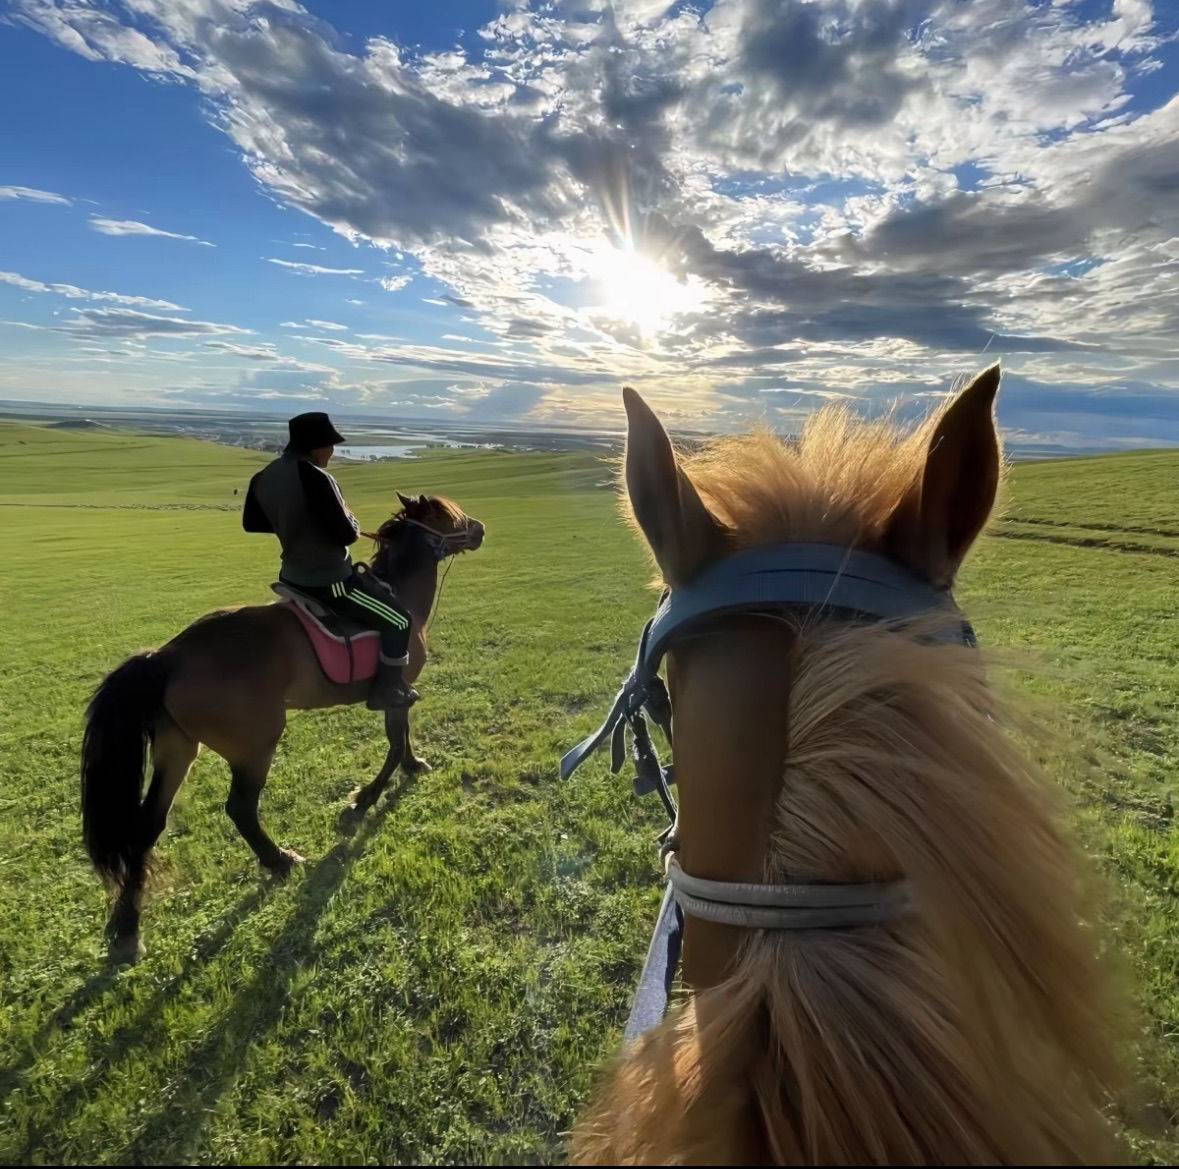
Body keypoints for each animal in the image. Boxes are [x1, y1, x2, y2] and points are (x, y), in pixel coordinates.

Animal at [80, 490, 481, 956]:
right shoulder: (395, 692)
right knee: (240, 808)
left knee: (148, 826)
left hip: (176, 747)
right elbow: (395, 741)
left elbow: (404, 738)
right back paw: (279, 861)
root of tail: (168, 656)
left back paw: (128, 926)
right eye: (449, 517)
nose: (479, 528)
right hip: (255, 745)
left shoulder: (403, 692)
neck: (400, 595)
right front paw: (363, 801)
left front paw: (414, 767)